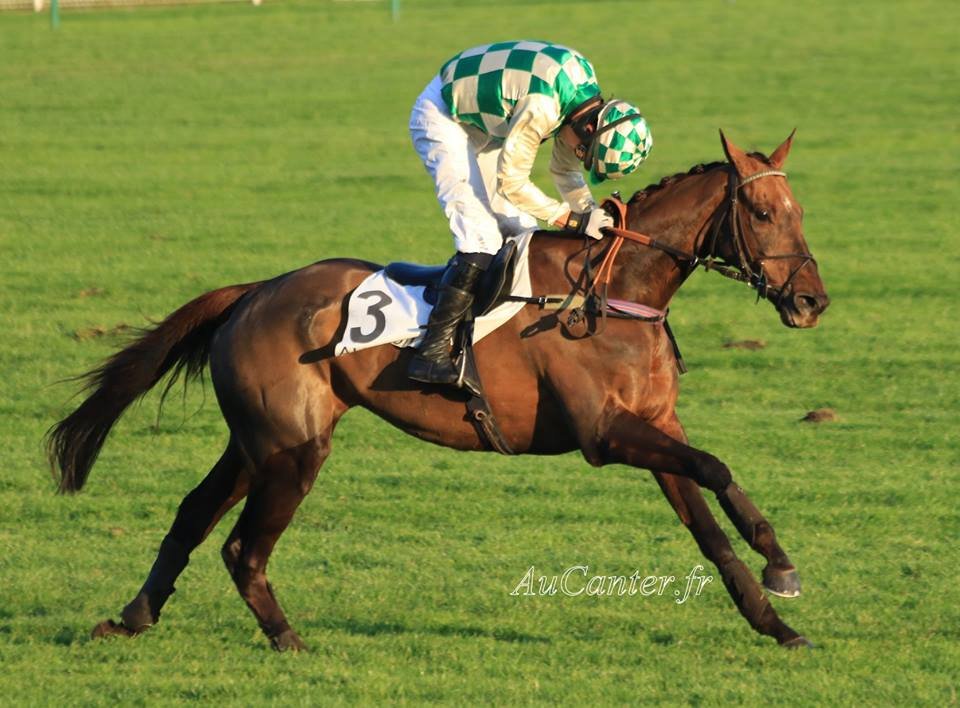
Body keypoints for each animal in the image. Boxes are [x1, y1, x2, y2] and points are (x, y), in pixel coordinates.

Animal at [48, 131, 829, 651]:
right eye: (763, 214)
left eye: (800, 210)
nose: (812, 301)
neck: (610, 292)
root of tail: (256, 290)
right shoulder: (605, 435)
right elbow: (716, 469)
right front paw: (782, 565)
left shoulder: (654, 426)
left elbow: (708, 522)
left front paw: (775, 616)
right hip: (292, 448)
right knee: (243, 547)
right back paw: (287, 638)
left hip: (256, 443)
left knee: (192, 514)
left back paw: (132, 617)